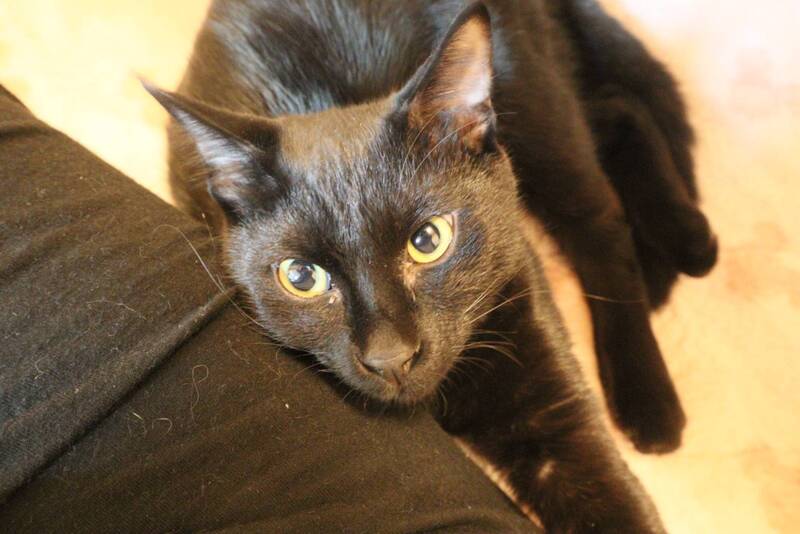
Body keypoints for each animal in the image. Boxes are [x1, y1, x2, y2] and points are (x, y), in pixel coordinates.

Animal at [146, 0, 717, 530]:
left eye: (427, 240)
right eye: (302, 277)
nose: (391, 357)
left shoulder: (540, 375)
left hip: (532, 104)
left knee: (602, 213)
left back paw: (658, 368)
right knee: (616, 109)